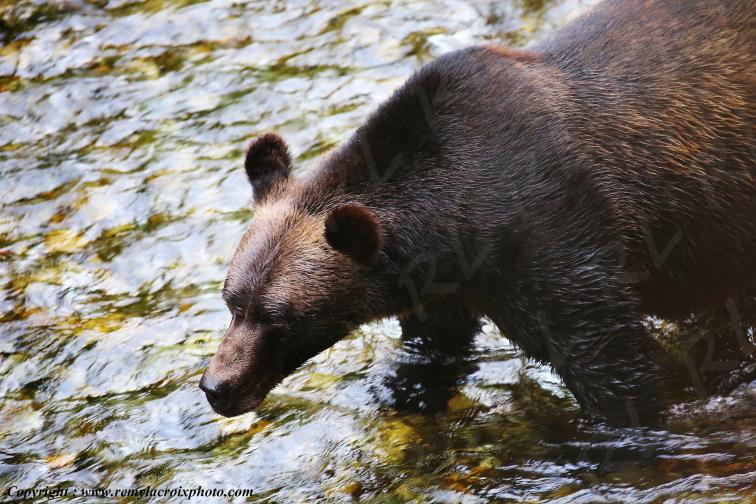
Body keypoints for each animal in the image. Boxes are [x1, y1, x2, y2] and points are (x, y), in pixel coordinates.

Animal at [199, 0, 755, 425]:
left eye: (279, 316)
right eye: (232, 301)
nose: (216, 385)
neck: (456, 229)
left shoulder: (559, 237)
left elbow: (610, 364)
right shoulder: (441, 286)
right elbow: (434, 343)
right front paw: (408, 391)